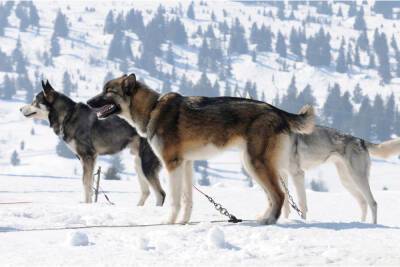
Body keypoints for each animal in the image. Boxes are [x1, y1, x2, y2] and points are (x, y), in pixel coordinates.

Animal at [19, 80, 164, 206]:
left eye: (35, 101)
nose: (20, 109)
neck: (68, 116)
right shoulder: (87, 159)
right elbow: (90, 184)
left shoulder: (88, 156)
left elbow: (86, 184)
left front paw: (87, 205)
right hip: (138, 164)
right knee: (146, 192)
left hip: (146, 164)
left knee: (161, 194)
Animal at [87, 74, 316, 226]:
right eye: (102, 89)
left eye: (108, 91)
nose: (88, 102)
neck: (152, 109)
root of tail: (276, 110)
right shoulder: (186, 164)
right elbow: (187, 200)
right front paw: (183, 223)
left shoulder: (172, 165)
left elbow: (174, 200)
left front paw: (169, 223)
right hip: (253, 164)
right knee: (273, 196)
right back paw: (262, 217)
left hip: (255, 164)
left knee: (279, 195)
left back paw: (267, 221)